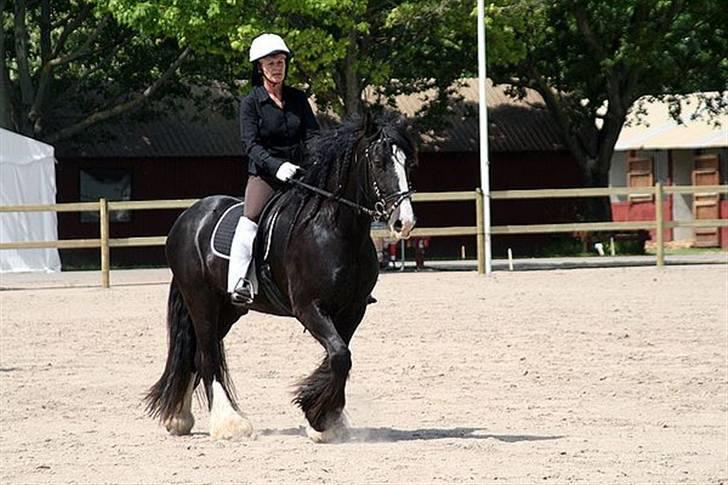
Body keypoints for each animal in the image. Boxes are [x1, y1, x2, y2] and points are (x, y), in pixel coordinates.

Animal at [144, 113, 416, 442]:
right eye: (378, 161)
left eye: (408, 162)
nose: (404, 222)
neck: (335, 230)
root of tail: (188, 217)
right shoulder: (309, 307)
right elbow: (339, 355)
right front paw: (319, 419)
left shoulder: (352, 309)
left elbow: (338, 356)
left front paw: (324, 418)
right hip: (201, 300)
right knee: (207, 356)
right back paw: (229, 424)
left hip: (229, 308)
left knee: (196, 354)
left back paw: (180, 418)